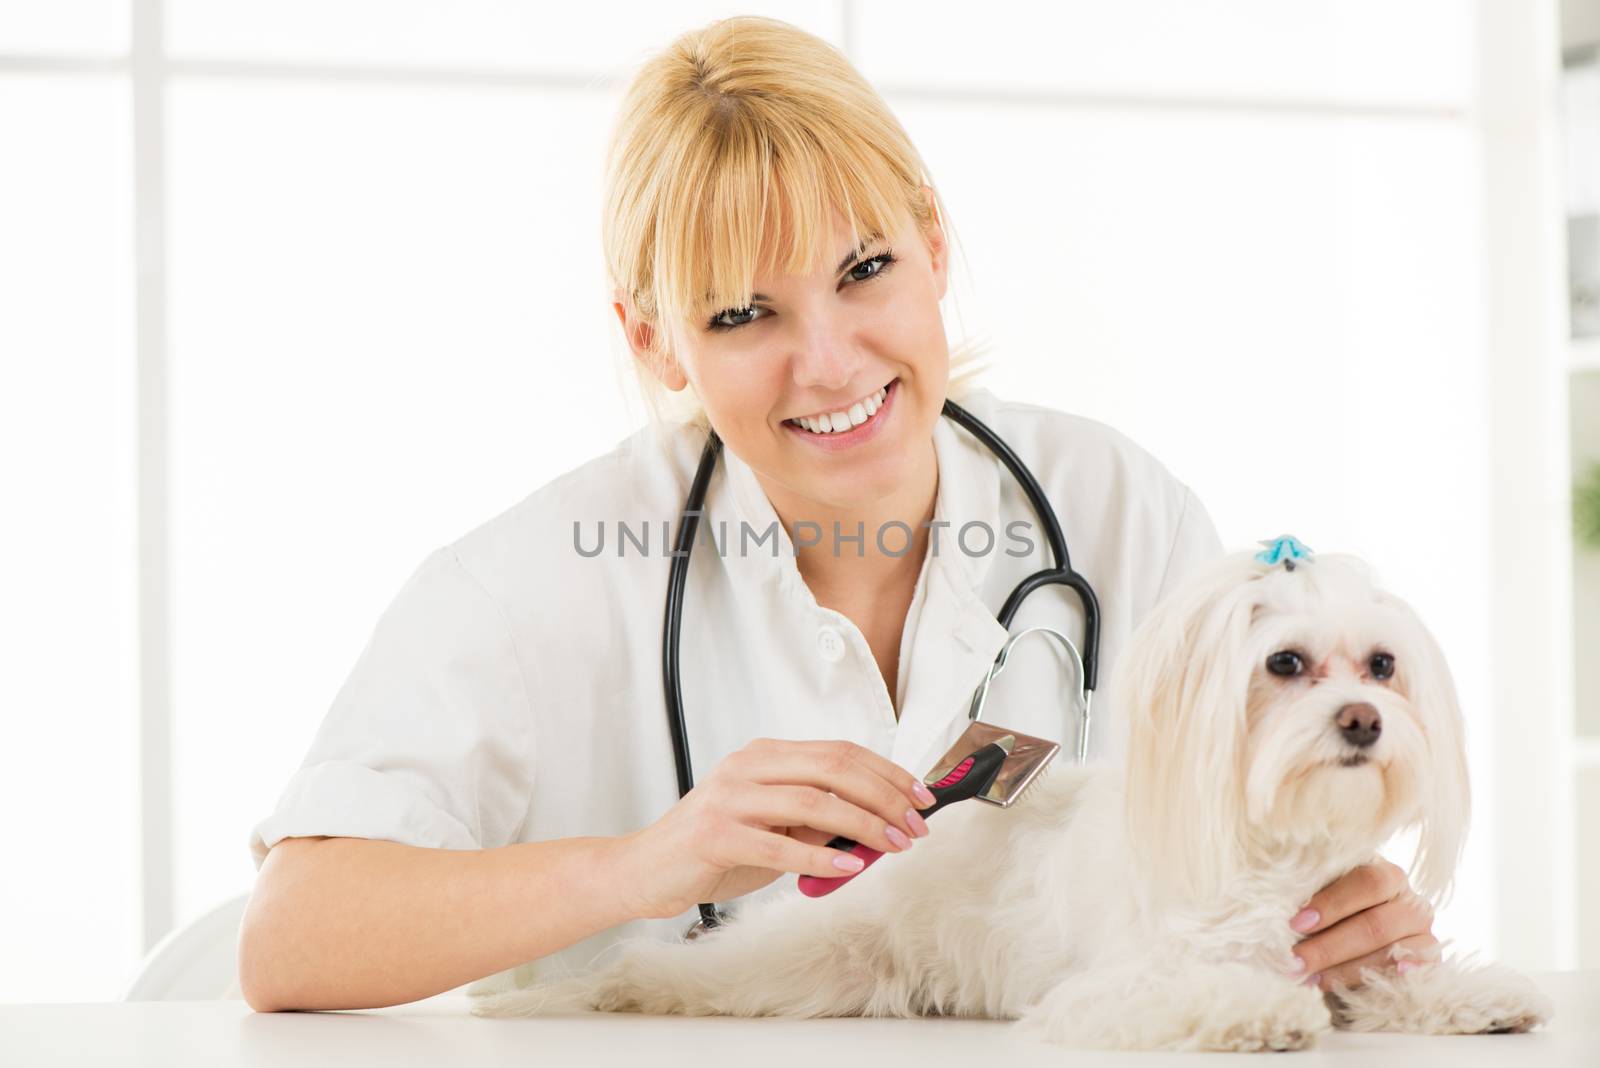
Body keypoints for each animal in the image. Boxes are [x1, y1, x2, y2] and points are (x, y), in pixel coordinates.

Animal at [470, 546, 1548, 1048]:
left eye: (1382, 665)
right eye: (1285, 664)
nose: (1363, 720)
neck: (1269, 856)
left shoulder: (1340, 938)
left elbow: (1382, 977)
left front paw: (1470, 994)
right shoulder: (1113, 988)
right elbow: (1203, 991)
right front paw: (1263, 1015)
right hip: (791, 960)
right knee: (678, 968)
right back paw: (612, 986)